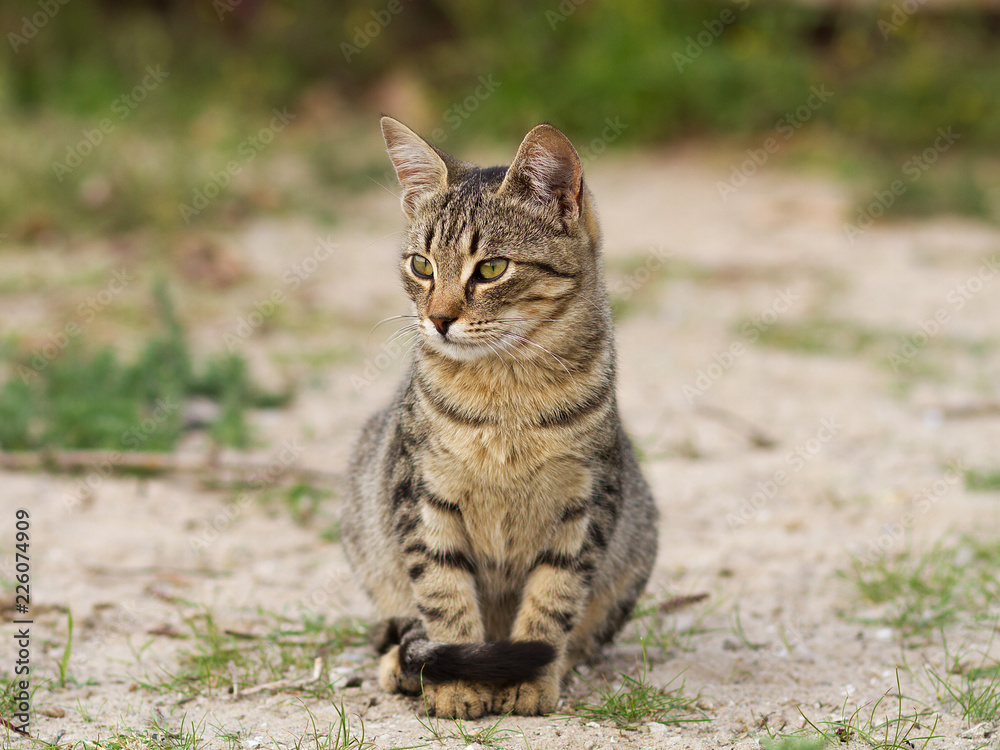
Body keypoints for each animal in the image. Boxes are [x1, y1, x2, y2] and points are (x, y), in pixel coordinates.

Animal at [340, 117, 660, 724]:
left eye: (491, 268)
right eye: (421, 265)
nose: (438, 319)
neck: (505, 392)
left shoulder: (588, 502)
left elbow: (552, 599)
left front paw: (529, 679)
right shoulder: (421, 494)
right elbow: (444, 597)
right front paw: (458, 684)